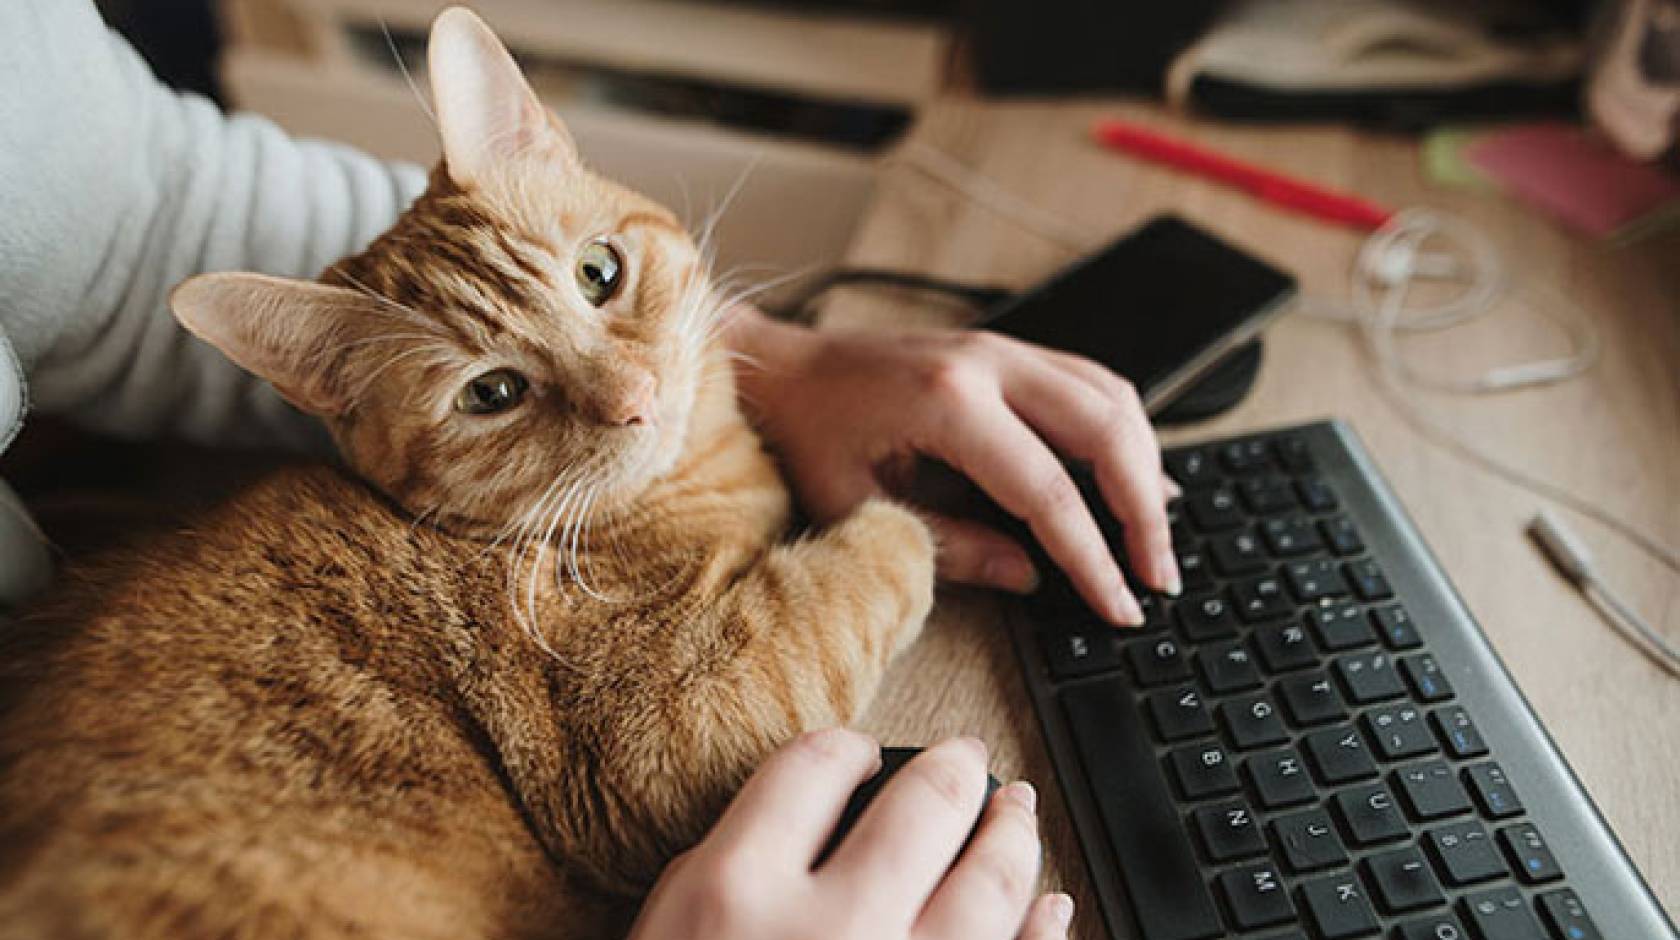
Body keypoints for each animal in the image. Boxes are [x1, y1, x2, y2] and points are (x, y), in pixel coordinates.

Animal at [0, 9, 940, 940]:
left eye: (599, 272)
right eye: (492, 393)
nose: (634, 398)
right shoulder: (664, 727)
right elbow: (835, 591)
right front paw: (900, 521)